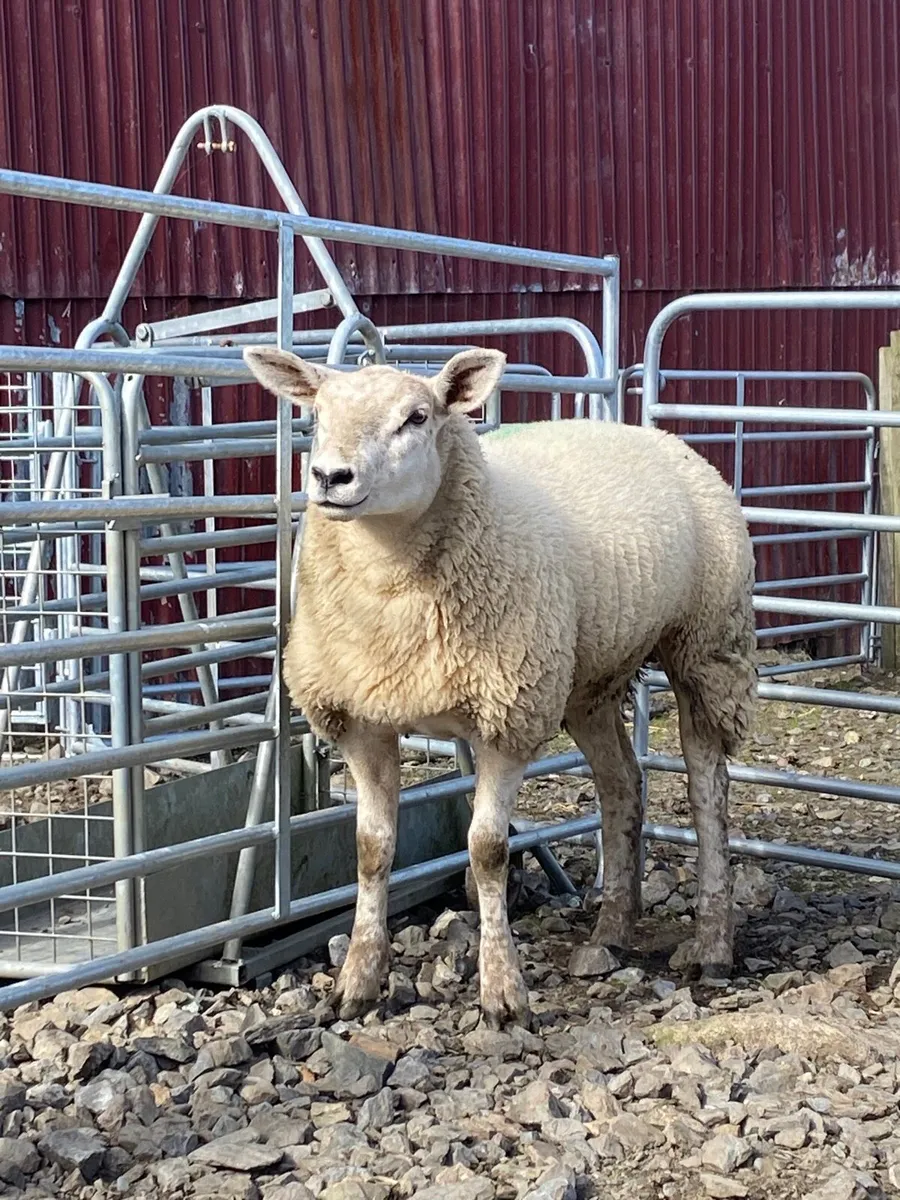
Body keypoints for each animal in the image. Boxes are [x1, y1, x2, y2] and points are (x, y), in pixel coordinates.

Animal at [243, 345, 757, 1029]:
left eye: (417, 417)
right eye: (317, 413)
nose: (331, 477)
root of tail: (648, 431)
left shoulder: (507, 717)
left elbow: (487, 850)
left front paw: (502, 992)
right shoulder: (362, 716)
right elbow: (371, 849)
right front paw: (356, 983)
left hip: (707, 644)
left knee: (707, 792)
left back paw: (713, 945)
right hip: (588, 678)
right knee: (623, 784)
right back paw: (611, 932)